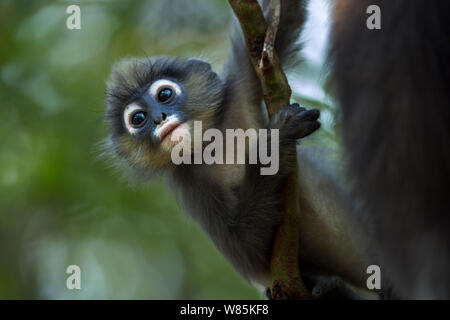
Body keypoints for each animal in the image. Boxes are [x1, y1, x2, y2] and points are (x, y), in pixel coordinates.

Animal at [103, 0, 374, 298]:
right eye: (138, 119)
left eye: (164, 94)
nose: (158, 118)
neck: (211, 143)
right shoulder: (191, 185)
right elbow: (247, 247)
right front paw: (273, 142)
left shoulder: (241, 87)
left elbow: (283, 21)